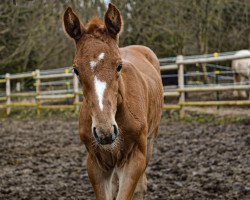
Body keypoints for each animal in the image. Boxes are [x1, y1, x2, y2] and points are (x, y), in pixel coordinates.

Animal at [63, 3, 163, 200]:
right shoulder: (95, 163)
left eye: (119, 66)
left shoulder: (135, 159)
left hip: (150, 141)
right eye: (76, 70)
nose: (105, 132)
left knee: (141, 185)